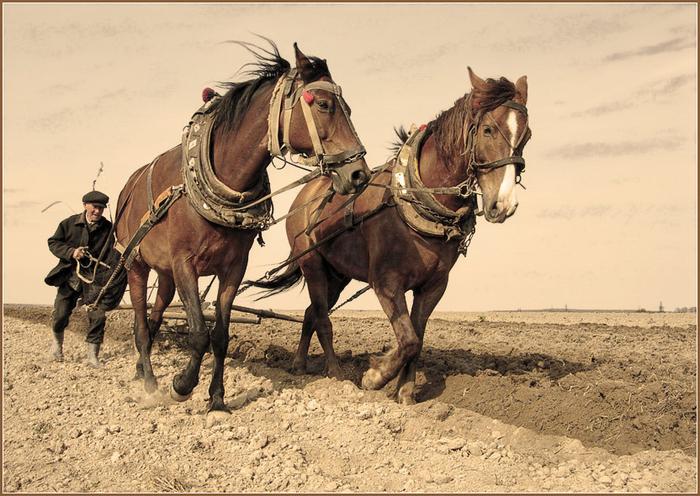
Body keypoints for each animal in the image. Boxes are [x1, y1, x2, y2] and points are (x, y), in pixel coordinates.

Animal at [113, 39, 372, 418]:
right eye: (324, 104)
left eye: (349, 108)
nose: (358, 174)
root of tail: (127, 187)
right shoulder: (185, 263)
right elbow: (199, 332)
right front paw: (181, 385)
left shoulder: (233, 267)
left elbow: (220, 335)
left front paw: (218, 398)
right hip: (137, 265)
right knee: (141, 326)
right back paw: (149, 383)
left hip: (164, 274)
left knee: (155, 317)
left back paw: (140, 371)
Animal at [252, 69, 532, 404]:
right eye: (488, 129)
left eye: (527, 136)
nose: (503, 205)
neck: (414, 199)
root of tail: (304, 196)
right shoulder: (386, 283)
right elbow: (408, 339)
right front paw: (374, 376)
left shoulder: (434, 286)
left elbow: (417, 338)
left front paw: (406, 394)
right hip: (313, 266)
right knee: (321, 317)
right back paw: (335, 375)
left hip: (338, 274)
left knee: (310, 314)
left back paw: (299, 365)